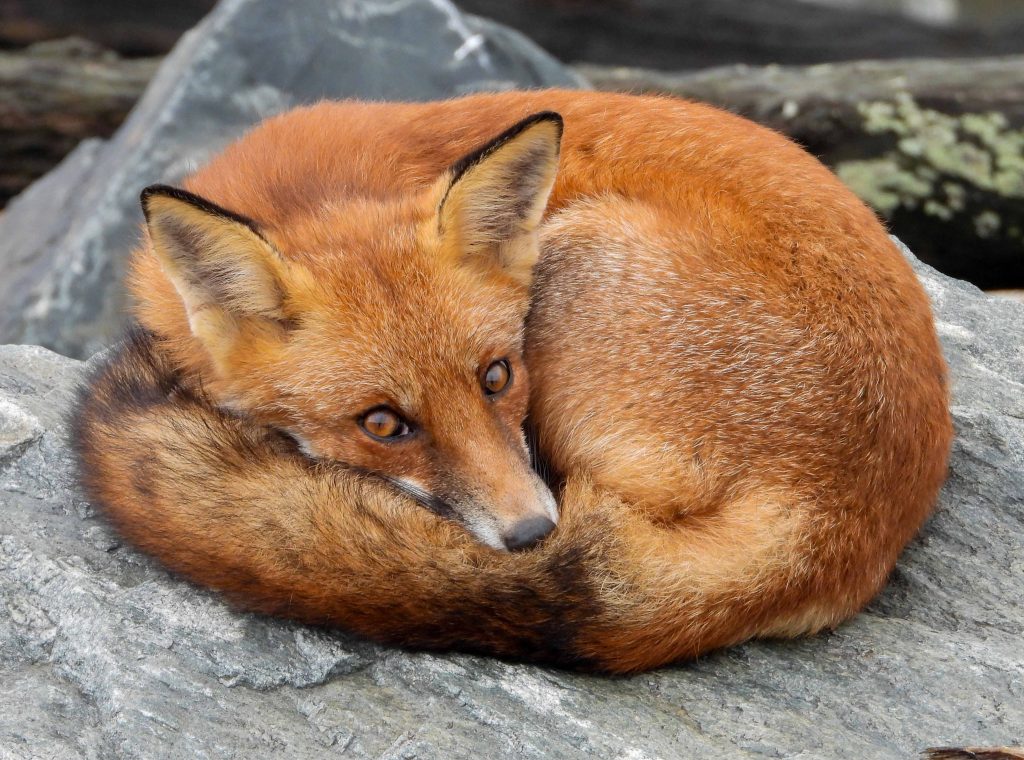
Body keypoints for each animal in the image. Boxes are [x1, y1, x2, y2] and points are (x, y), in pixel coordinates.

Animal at [72, 90, 950, 671]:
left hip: (577, 244)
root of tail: (830, 524)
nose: (532, 536)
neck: (314, 189)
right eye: (383, 424)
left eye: (498, 375)